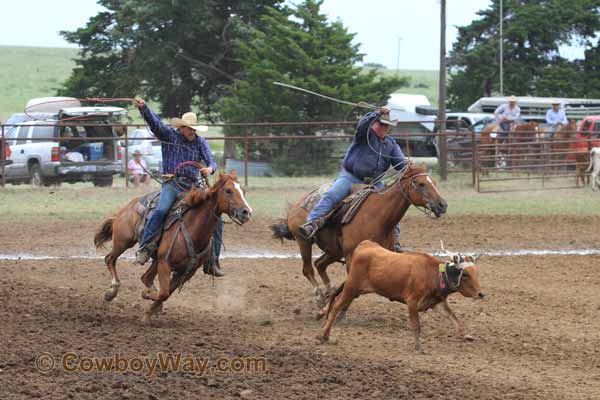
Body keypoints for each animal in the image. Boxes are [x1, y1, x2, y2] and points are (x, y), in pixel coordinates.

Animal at [93, 172, 251, 322]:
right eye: (228, 190)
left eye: (242, 191)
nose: (246, 212)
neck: (193, 229)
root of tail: (128, 206)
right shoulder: (165, 263)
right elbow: (163, 293)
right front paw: (147, 296)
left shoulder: (187, 271)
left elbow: (166, 294)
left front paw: (149, 312)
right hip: (123, 241)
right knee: (110, 259)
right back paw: (111, 292)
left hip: (153, 258)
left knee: (146, 278)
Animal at [270, 162, 446, 304]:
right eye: (421, 184)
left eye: (434, 183)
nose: (442, 205)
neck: (378, 217)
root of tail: (296, 206)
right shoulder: (351, 257)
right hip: (304, 241)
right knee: (308, 269)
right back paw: (320, 296)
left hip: (334, 250)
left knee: (319, 264)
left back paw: (329, 292)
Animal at [318, 239, 482, 352]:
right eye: (465, 274)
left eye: (476, 272)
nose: (481, 294)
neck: (432, 273)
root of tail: (365, 244)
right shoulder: (412, 301)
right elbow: (416, 325)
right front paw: (418, 346)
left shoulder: (436, 302)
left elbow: (453, 317)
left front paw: (465, 335)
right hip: (351, 287)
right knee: (336, 306)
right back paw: (324, 335)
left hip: (354, 289)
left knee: (335, 299)